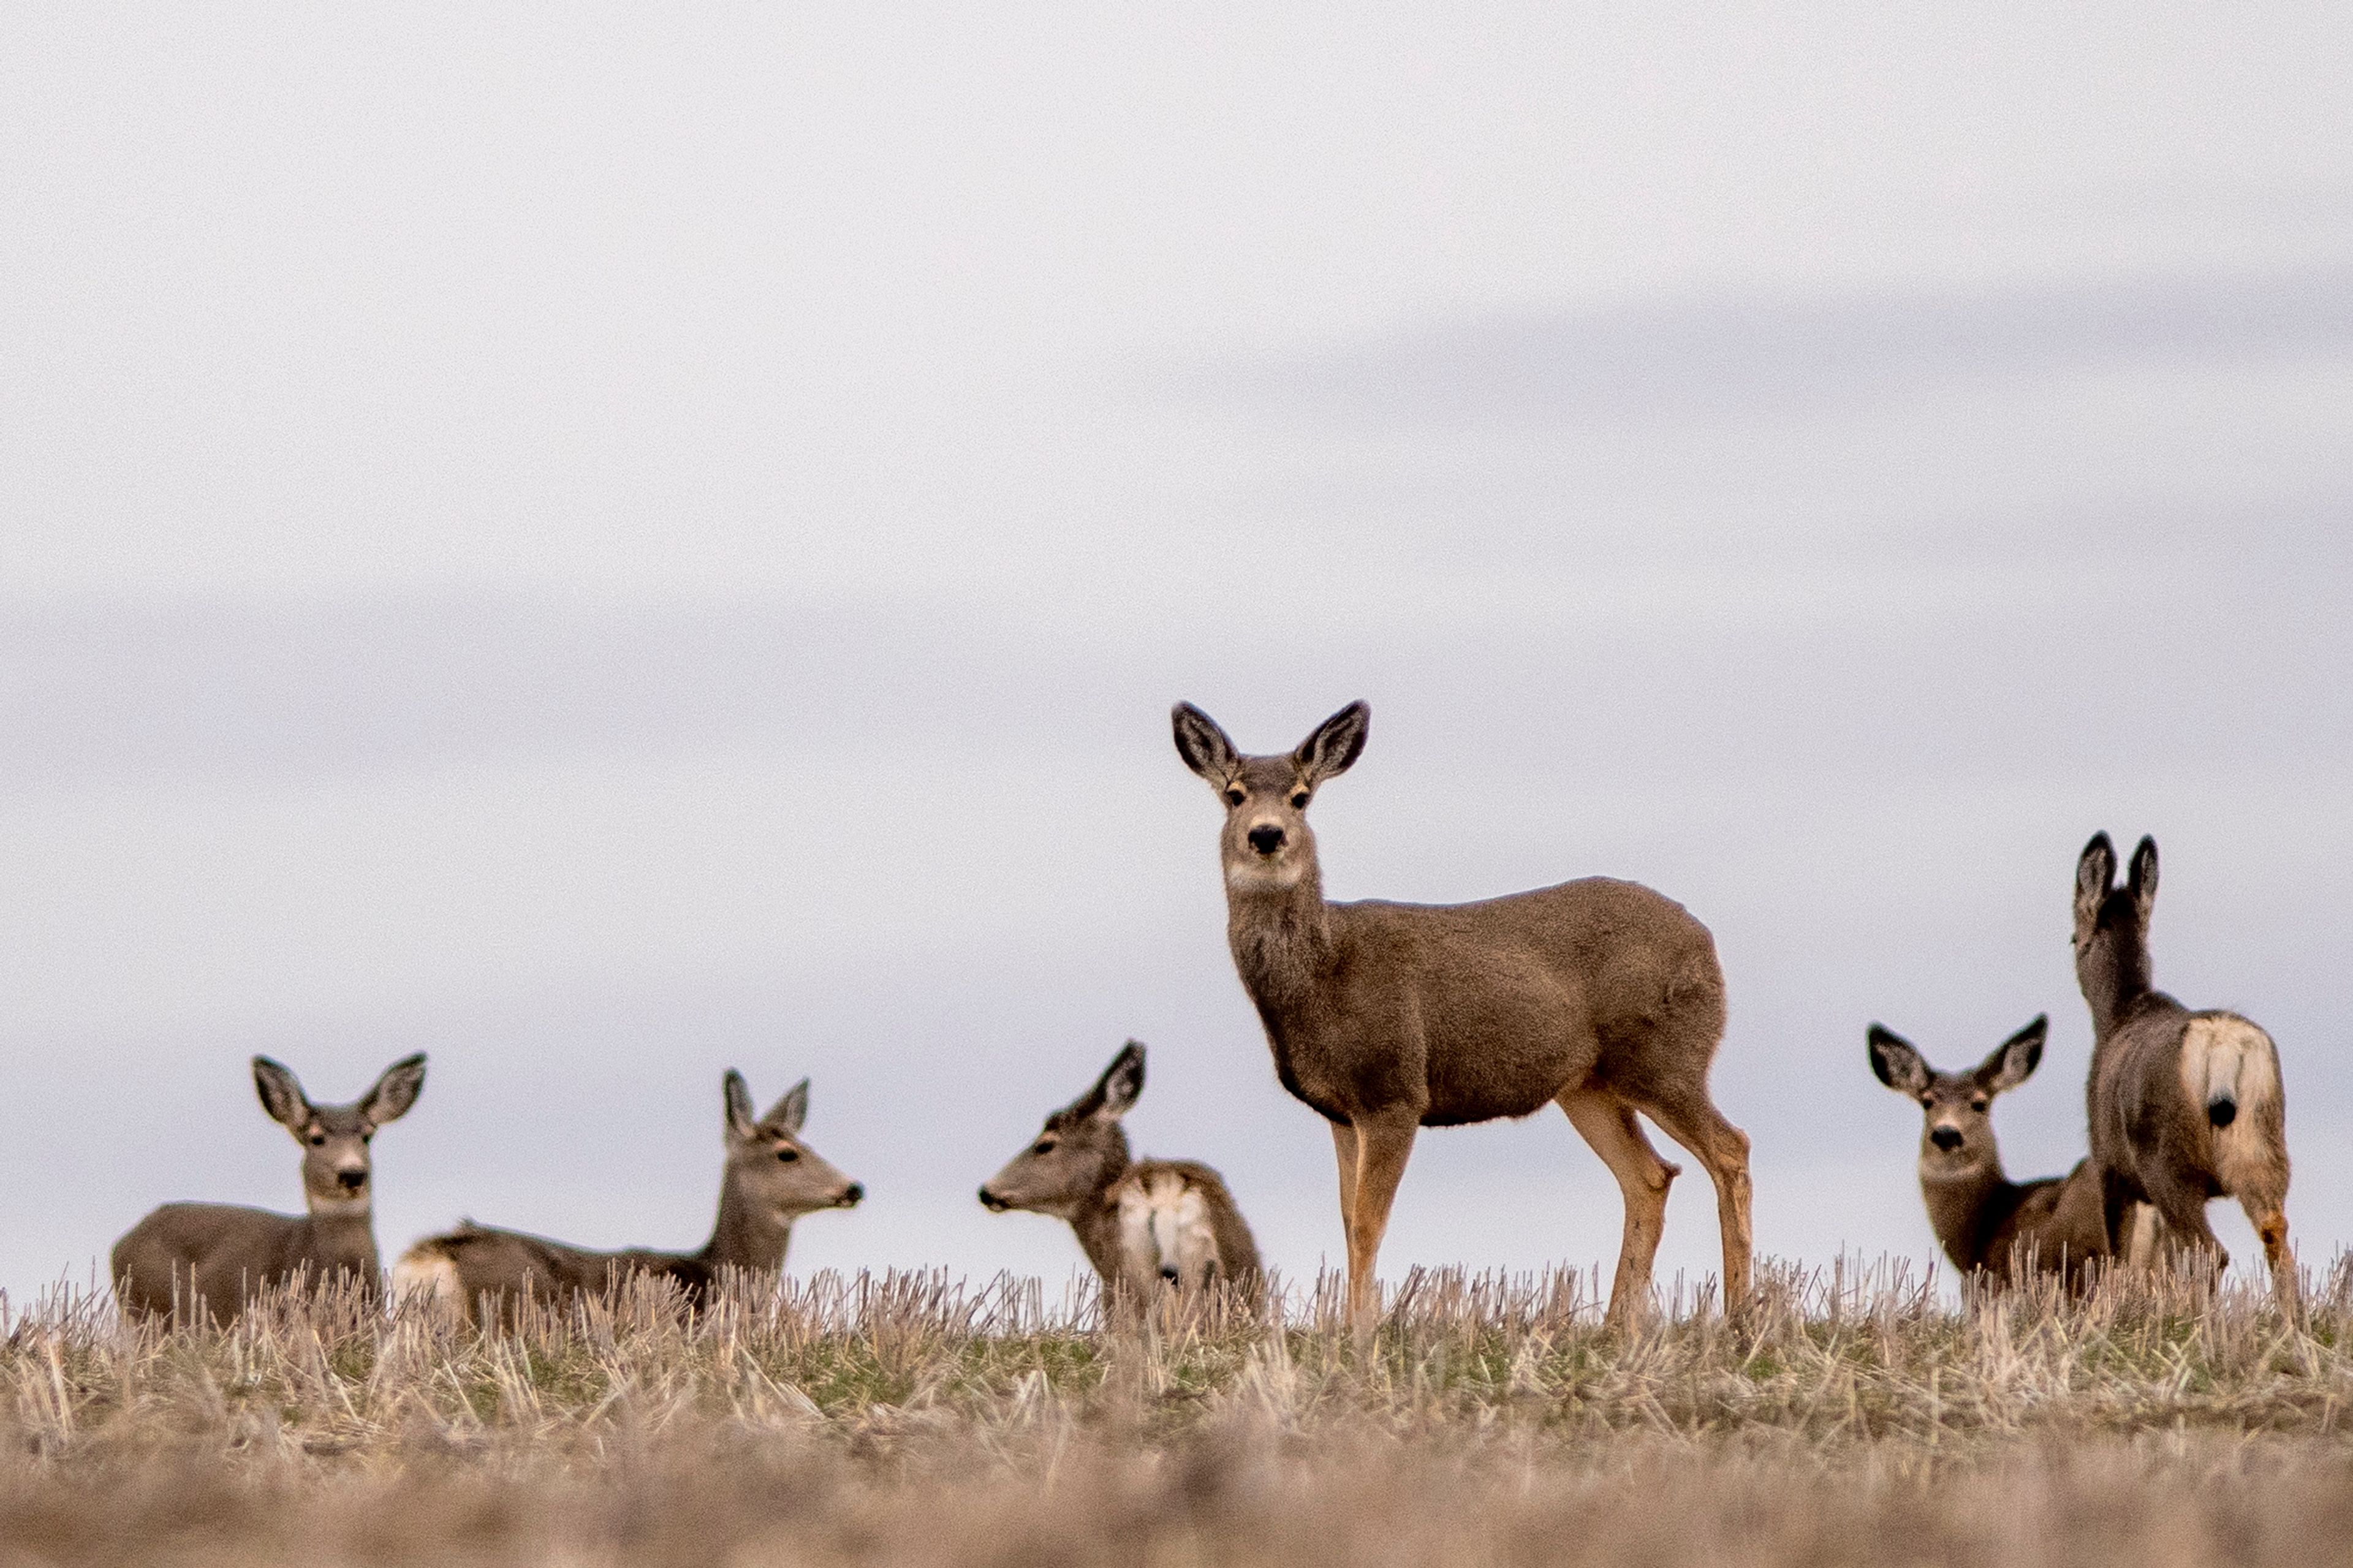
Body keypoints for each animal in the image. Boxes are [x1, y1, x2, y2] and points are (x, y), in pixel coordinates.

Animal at [1171, 700, 1751, 1336]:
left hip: (1665, 1057)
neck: (1324, 973)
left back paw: (1740, 1313)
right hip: (1590, 1085)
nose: (1267, 834)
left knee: (1731, 1149)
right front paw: (1351, 1323)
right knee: (1650, 1176)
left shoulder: (1395, 1089)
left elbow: (1369, 1221)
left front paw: (1363, 1329)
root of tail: (1708, 944)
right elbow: (1348, 1219)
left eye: (1301, 797)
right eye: (1234, 794)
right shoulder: (1342, 1111)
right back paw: (1618, 1324)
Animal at [2073, 832, 2294, 1306]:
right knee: (2276, 1237)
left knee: (2211, 1251)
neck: (2119, 1014)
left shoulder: (2110, 1167)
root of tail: (2223, 1047)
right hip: (2265, 1146)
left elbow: (2119, 1260)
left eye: (2072, 938)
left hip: (2167, 1164)